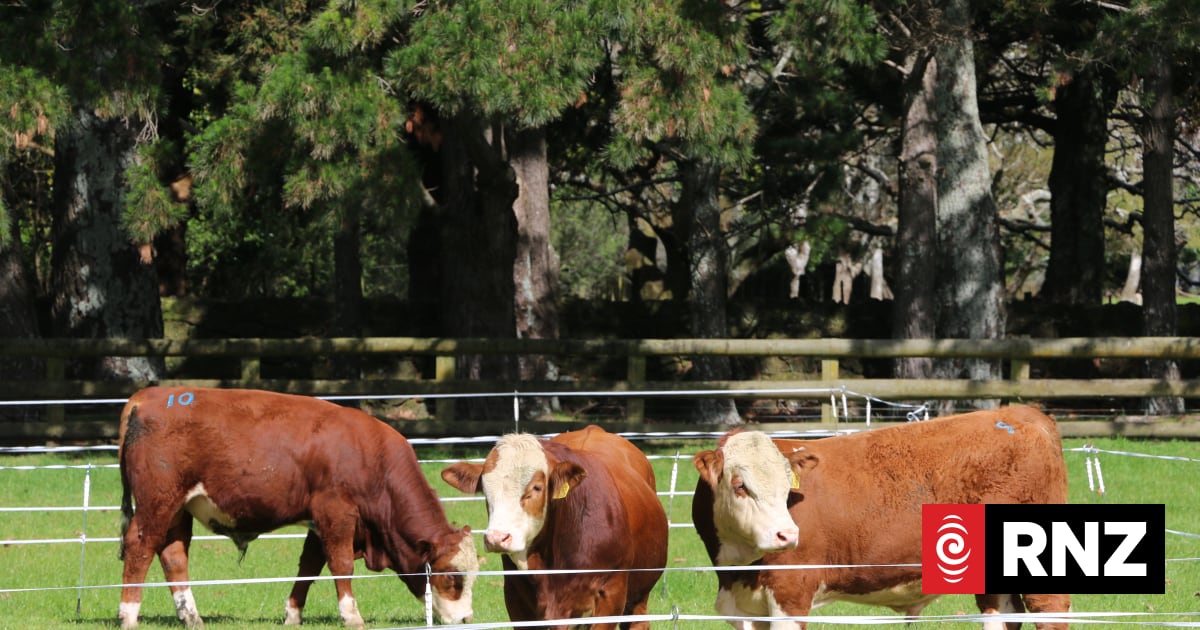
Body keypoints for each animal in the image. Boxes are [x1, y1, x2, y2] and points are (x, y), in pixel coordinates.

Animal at [116, 386, 478, 629]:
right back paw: (129, 614)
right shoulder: (337, 513)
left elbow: (309, 566)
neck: (370, 457)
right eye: (452, 577)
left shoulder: (319, 522)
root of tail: (148, 396)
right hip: (157, 503)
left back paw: (191, 617)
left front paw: (292, 614)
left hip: (178, 509)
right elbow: (341, 564)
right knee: (140, 547)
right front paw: (352, 615)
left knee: (173, 556)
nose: (466, 619)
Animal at [441, 425, 669, 629]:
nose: (497, 538)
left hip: (639, 597)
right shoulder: (517, 600)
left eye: (537, 487)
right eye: (486, 490)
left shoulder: (611, 595)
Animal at [692, 405, 1071, 630]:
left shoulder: (791, 595)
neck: (737, 569)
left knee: (1050, 609)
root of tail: (1024, 413)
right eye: (740, 485)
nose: (787, 535)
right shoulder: (743, 611)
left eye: (788, 487)